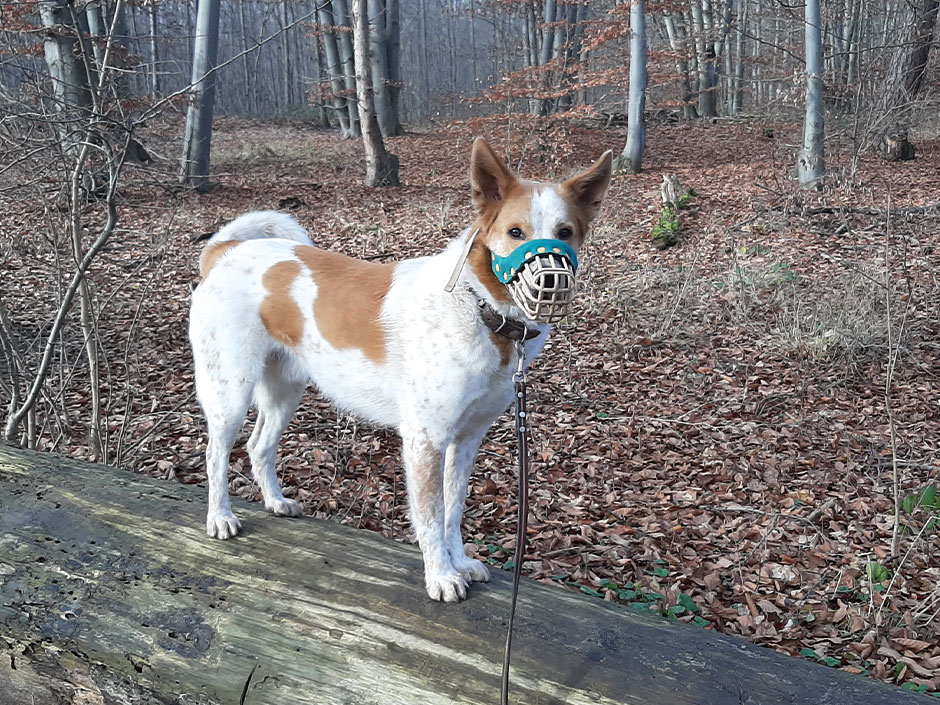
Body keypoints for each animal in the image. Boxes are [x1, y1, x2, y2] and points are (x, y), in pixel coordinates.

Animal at [192, 138, 616, 600]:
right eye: (515, 233)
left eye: (565, 233)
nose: (551, 282)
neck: (481, 309)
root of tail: (226, 250)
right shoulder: (425, 439)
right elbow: (431, 515)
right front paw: (441, 575)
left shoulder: (467, 439)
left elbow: (453, 509)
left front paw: (459, 561)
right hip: (230, 390)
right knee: (215, 454)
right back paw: (219, 516)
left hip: (286, 391)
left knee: (258, 447)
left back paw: (275, 501)